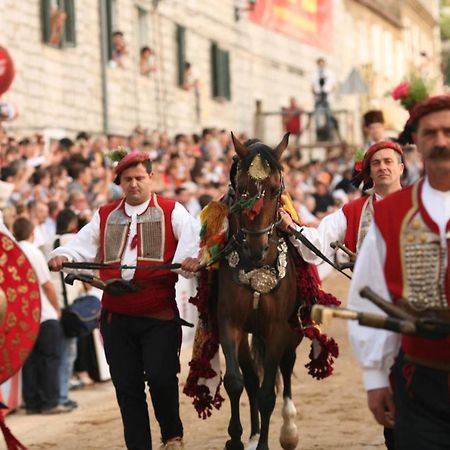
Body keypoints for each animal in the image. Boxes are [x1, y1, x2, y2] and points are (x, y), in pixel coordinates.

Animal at [218, 134, 302, 450]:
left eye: (275, 189)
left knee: (286, 368)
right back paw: (254, 432)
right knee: (252, 376)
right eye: (241, 189)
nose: (256, 249)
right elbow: (235, 381)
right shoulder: (230, 323)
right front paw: (236, 438)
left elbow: (268, 394)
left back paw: (288, 429)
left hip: (292, 332)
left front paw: (266, 441)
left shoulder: (278, 328)